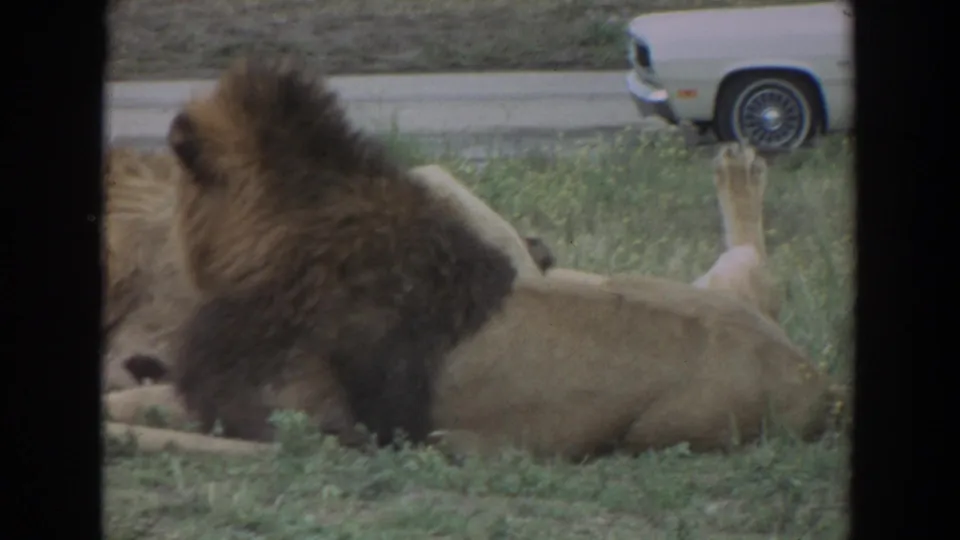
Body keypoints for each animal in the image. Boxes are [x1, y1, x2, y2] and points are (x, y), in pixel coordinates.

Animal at [107, 58, 841, 461]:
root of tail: (816, 379)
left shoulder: (299, 421)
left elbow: (146, 409)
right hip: (668, 282)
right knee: (747, 260)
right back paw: (739, 167)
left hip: (670, 428)